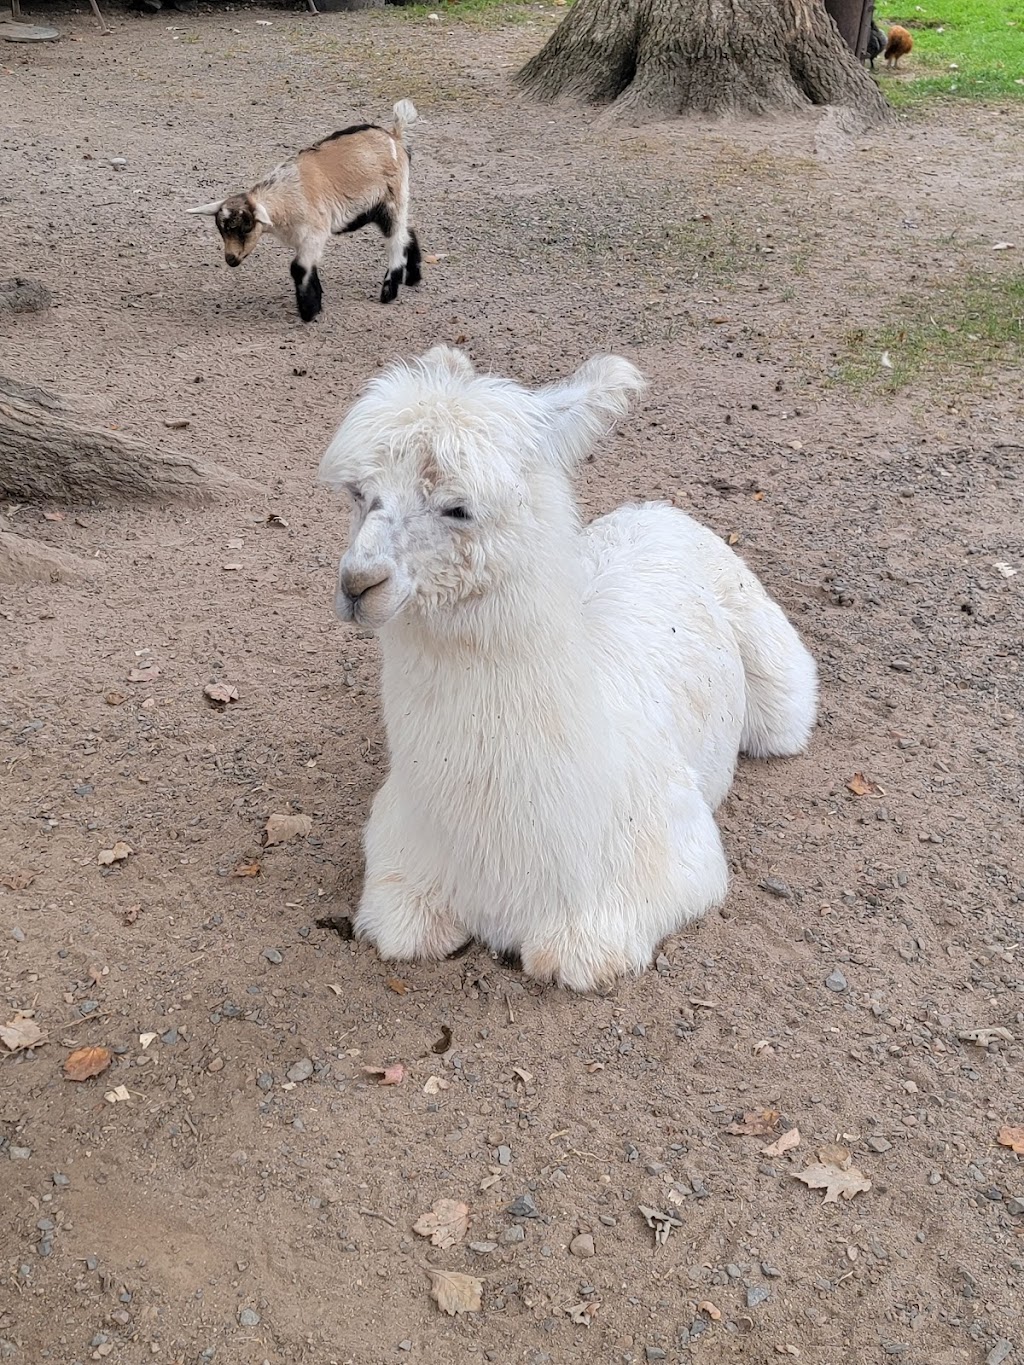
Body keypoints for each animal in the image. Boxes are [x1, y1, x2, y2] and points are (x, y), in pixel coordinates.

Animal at [188, 100, 420, 322]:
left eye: (245, 228)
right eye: (221, 230)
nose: (231, 259)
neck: (285, 197)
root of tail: (395, 136)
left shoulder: (314, 234)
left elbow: (298, 268)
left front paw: (309, 311)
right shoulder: (303, 240)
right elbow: (309, 268)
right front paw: (316, 301)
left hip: (393, 199)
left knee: (396, 240)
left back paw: (389, 291)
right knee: (407, 232)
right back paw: (413, 278)